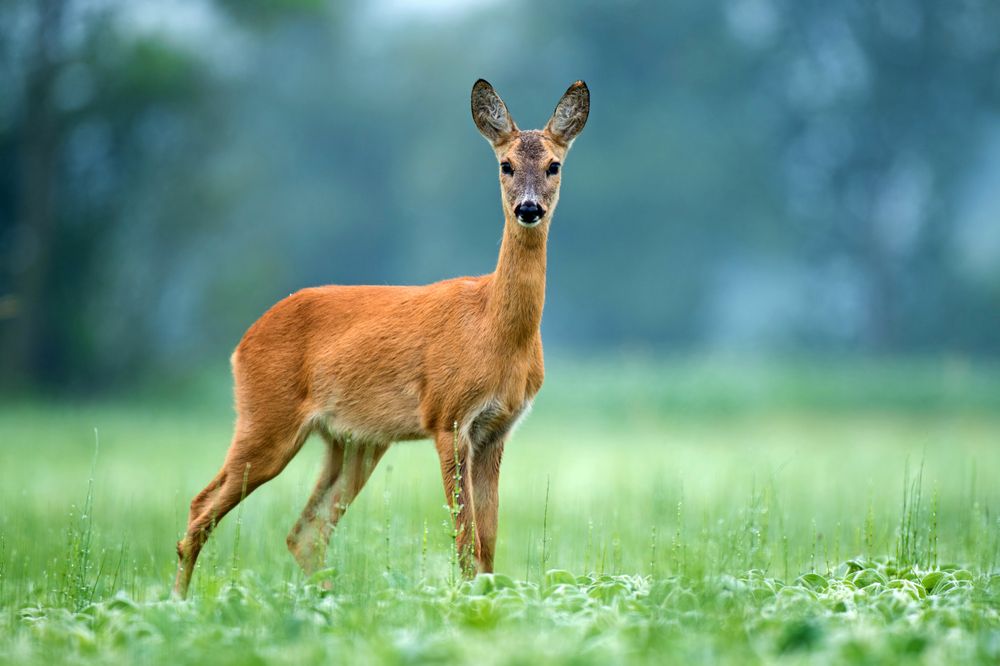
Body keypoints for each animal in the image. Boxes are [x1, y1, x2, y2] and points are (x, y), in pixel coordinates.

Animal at [176, 79, 588, 596]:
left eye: (555, 165)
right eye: (505, 165)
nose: (528, 208)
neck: (495, 331)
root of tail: (242, 343)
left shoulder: (497, 430)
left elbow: (489, 543)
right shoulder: (448, 417)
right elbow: (465, 541)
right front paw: (465, 601)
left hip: (353, 441)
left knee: (304, 532)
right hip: (266, 419)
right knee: (201, 509)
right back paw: (177, 603)